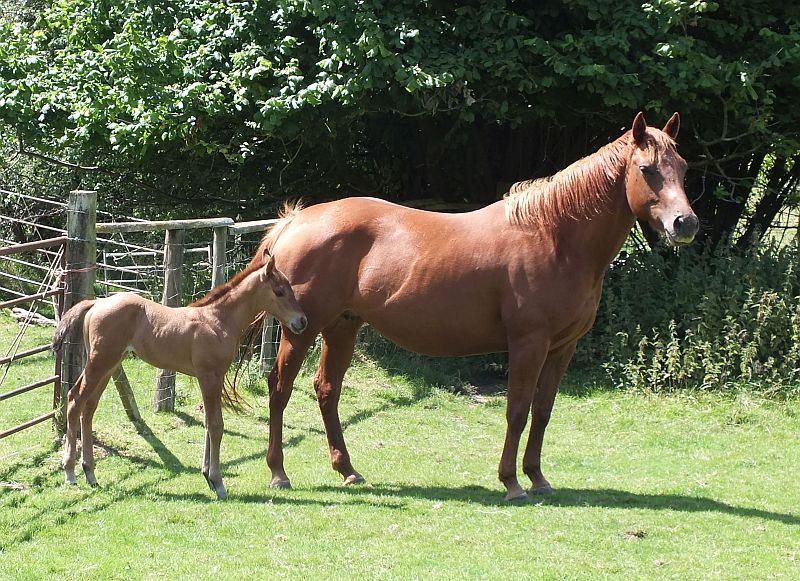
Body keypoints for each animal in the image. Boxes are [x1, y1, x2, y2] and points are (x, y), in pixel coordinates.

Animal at [51, 249, 308, 499]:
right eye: (279, 291)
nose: (302, 321)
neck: (219, 320)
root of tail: (96, 304)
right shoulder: (209, 376)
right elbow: (216, 425)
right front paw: (218, 483)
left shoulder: (212, 378)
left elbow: (208, 423)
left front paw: (207, 476)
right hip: (100, 363)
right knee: (75, 399)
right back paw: (70, 473)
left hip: (110, 365)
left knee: (89, 406)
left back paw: (90, 473)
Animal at [254, 112, 699, 501]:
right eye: (647, 169)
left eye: (682, 167)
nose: (686, 223)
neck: (554, 236)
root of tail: (294, 221)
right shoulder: (528, 343)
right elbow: (517, 410)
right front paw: (512, 483)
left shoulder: (561, 347)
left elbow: (543, 412)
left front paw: (538, 478)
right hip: (302, 330)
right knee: (279, 389)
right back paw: (278, 473)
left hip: (343, 326)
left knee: (327, 390)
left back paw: (347, 470)